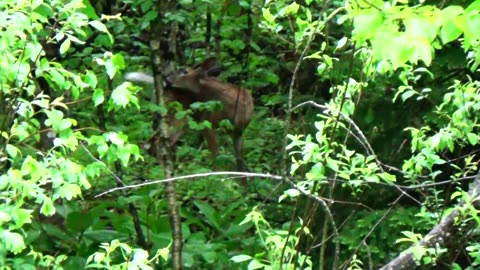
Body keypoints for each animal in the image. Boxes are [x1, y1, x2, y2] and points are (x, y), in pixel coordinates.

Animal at [126, 57, 255, 172]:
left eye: (185, 72)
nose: (167, 79)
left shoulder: (239, 131)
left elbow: (240, 163)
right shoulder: (207, 123)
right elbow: (215, 156)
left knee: (152, 143)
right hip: (179, 116)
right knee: (158, 142)